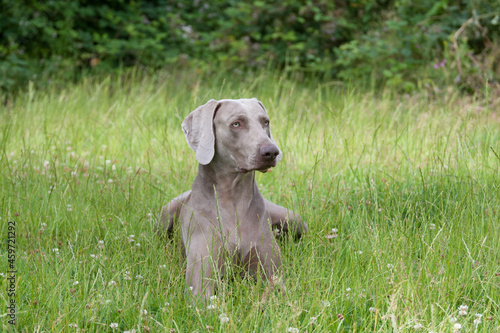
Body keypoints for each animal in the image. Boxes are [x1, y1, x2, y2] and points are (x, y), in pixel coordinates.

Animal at [161, 97, 308, 296]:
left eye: (265, 122)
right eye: (236, 124)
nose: (271, 152)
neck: (232, 199)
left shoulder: (272, 272)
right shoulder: (200, 282)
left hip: (293, 219)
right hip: (165, 213)